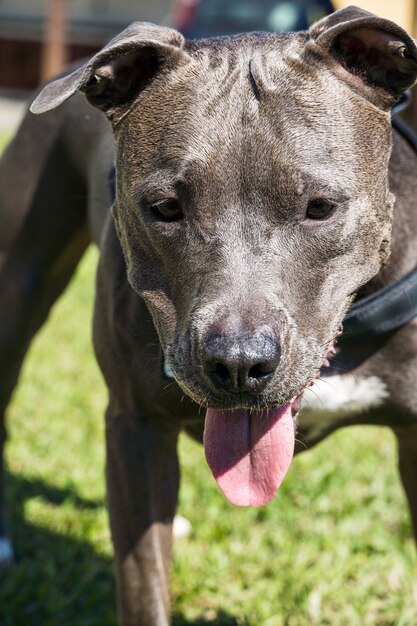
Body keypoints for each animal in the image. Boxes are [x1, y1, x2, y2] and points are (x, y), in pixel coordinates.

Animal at [0, 6, 416, 624]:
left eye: (320, 208)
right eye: (165, 208)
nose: (239, 362)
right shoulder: (135, 424)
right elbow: (143, 585)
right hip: (17, 286)